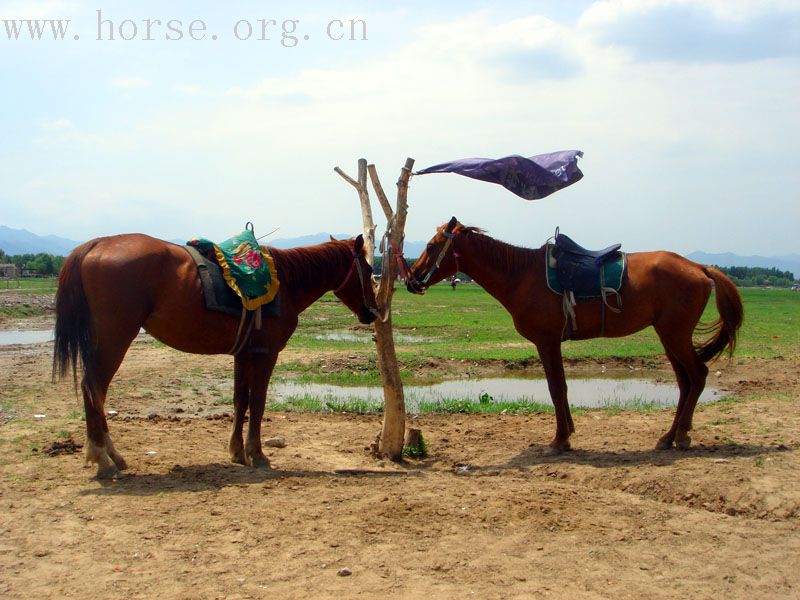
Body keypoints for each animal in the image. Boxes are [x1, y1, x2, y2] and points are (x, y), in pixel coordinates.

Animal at [54, 231, 378, 478]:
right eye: (366, 268)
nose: (372, 312)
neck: (285, 282)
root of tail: (96, 245)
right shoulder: (266, 354)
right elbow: (258, 403)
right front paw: (257, 454)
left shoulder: (244, 354)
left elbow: (240, 400)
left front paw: (237, 452)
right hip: (115, 339)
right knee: (93, 388)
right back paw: (103, 458)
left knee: (94, 391)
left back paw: (112, 456)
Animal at [406, 218, 744, 452]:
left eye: (432, 247)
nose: (410, 279)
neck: (521, 276)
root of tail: (700, 268)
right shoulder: (550, 342)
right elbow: (563, 388)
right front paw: (567, 433)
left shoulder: (547, 341)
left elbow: (556, 389)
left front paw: (559, 440)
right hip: (668, 336)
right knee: (685, 382)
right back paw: (668, 437)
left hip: (675, 335)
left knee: (697, 376)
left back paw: (682, 435)